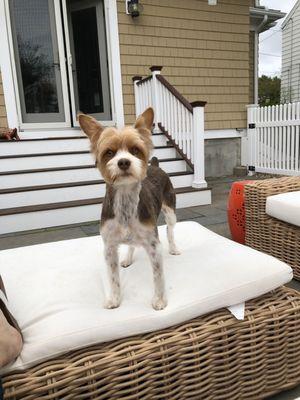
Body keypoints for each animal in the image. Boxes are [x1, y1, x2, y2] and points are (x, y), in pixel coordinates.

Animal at [78, 108, 179, 310]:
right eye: (109, 152)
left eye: (135, 150)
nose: (123, 162)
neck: (125, 200)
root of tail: (155, 165)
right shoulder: (109, 247)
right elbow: (113, 278)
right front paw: (115, 299)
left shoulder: (154, 245)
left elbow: (158, 276)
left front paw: (159, 300)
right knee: (132, 244)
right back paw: (128, 258)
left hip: (170, 210)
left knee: (170, 229)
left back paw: (173, 248)